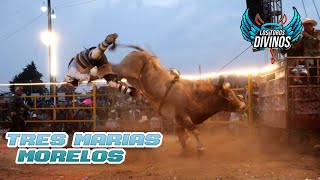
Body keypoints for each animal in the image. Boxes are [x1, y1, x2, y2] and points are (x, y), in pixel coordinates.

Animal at [107, 45, 245, 151]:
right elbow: (194, 131)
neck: (193, 95)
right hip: (123, 69)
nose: (243, 106)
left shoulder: (178, 121)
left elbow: (184, 136)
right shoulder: (182, 117)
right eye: (229, 95)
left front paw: (186, 148)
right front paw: (200, 148)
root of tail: (141, 52)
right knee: (110, 66)